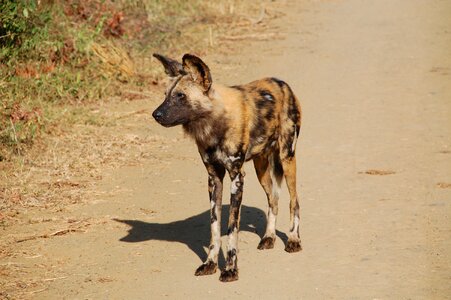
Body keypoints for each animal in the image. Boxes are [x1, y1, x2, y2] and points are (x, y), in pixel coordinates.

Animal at [152, 53, 304, 282]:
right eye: (165, 95)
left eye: (180, 96)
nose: (156, 114)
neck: (213, 125)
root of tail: (281, 83)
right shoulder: (214, 178)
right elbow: (215, 229)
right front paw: (210, 264)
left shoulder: (236, 177)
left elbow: (232, 229)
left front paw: (231, 269)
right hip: (261, 169)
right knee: (273, 200)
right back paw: (268, 237)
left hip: (287, 159)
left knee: (293, 202)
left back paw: (294, 239)